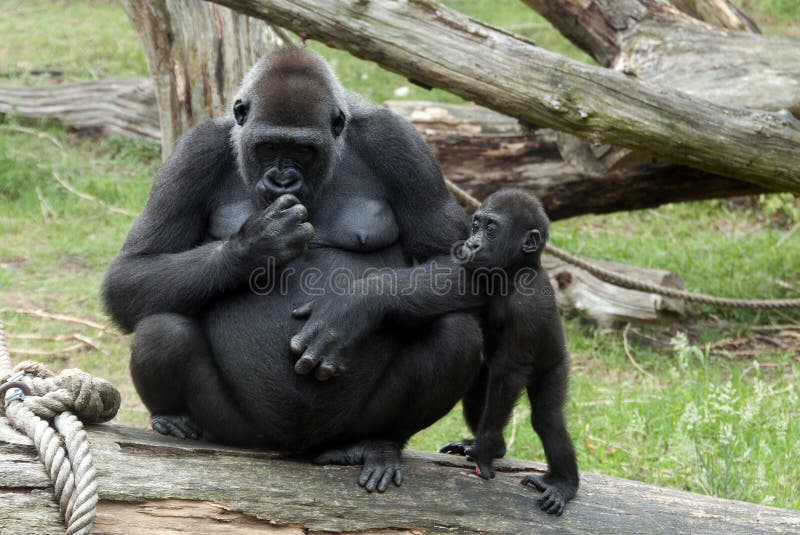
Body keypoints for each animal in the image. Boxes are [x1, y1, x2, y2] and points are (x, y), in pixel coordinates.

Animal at [440, 189, 579, 515]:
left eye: (491, 229)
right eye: (475, 225)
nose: (472, 243)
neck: (516, 270)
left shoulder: (527, 305)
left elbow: (511, 370)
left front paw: (483, 449)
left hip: (556, 365)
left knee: (547, 417)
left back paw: (564, 483)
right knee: (479, 388)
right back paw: (498, 446)